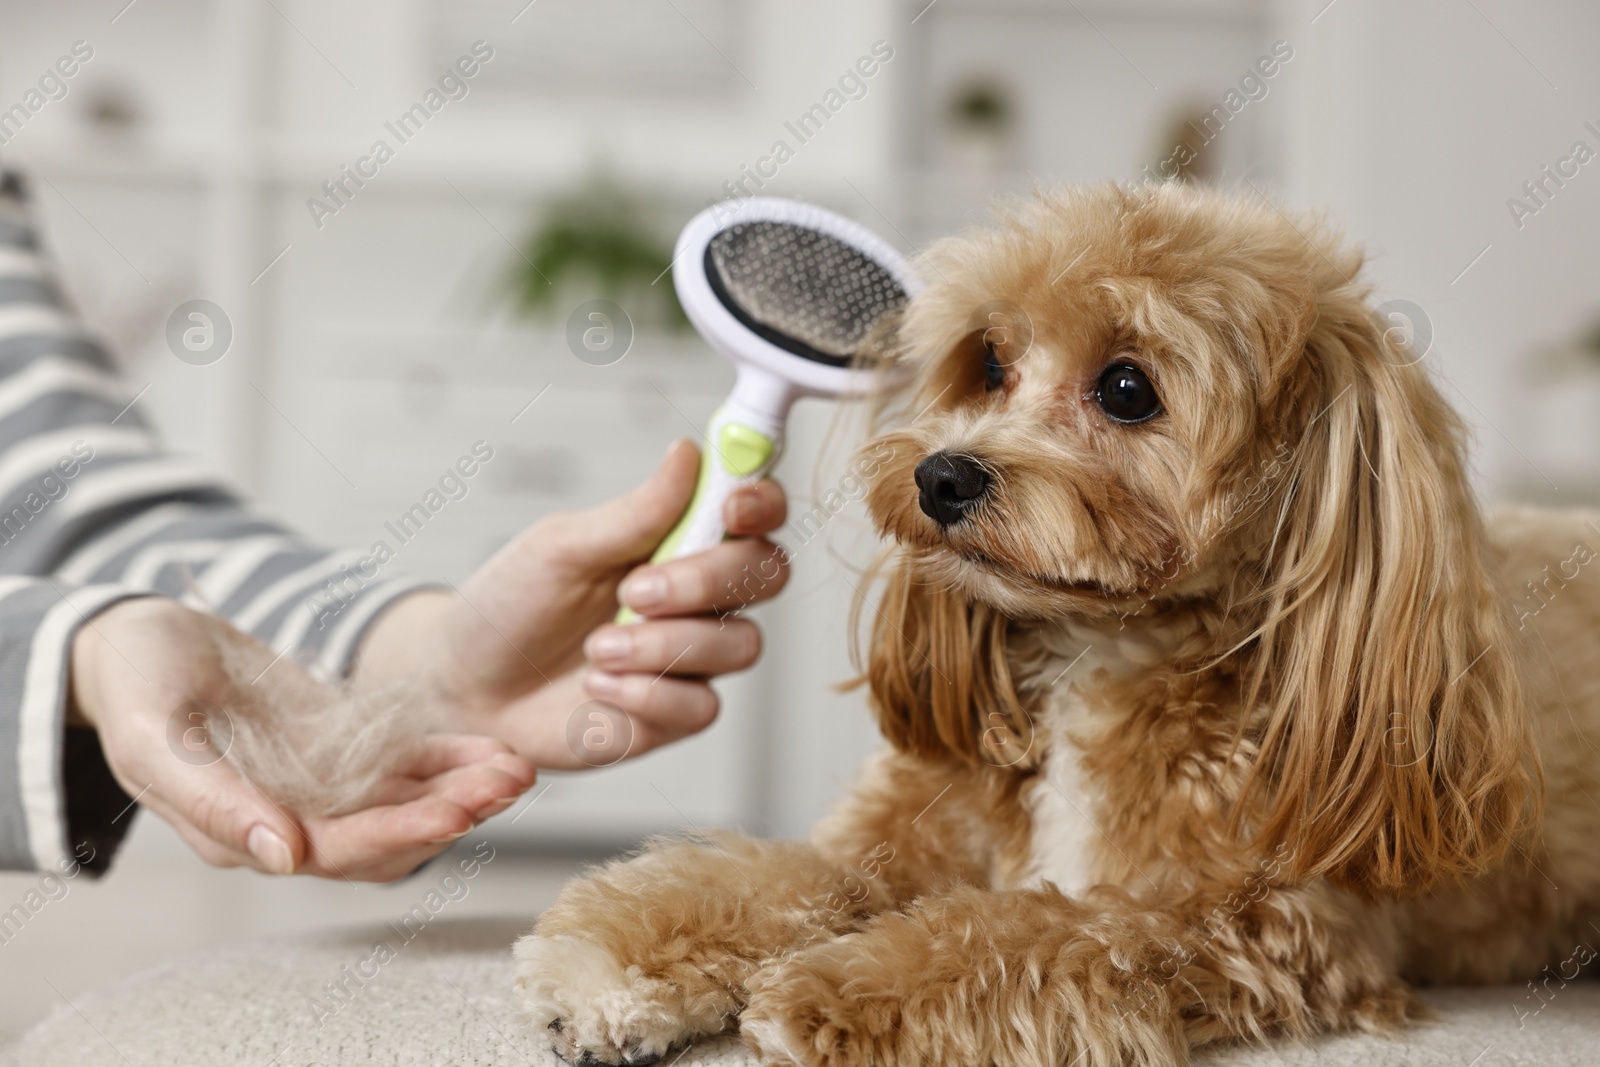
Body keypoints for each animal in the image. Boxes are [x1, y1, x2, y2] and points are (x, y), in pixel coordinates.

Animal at [512, 183, 1600, 1067]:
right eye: (990, 361)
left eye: (1126, 388)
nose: (939, 476)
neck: (1093, 652)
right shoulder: (888, 839)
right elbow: (764, 875)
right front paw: (611, 966)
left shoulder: (1257, 922)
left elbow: (1030, 933)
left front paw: (834, 988)